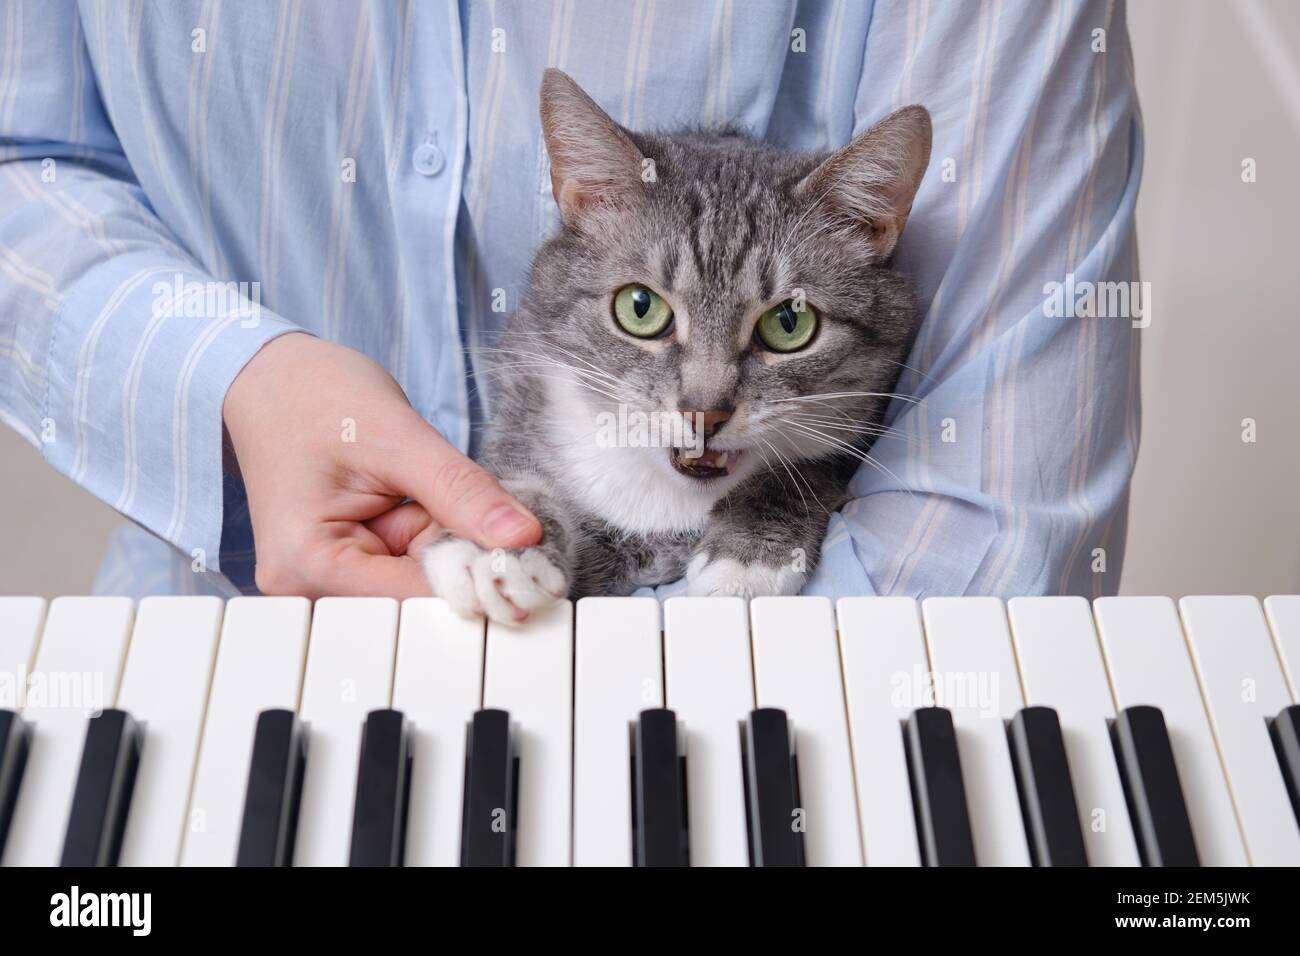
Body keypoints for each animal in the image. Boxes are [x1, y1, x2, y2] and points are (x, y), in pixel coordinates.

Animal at [426, 65, 935, 621]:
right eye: (640, 307)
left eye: (789, 322)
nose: (704, 413)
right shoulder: (526, 393)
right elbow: (520, 478)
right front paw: (500, 547)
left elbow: (808, 465)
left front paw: (747, 557)